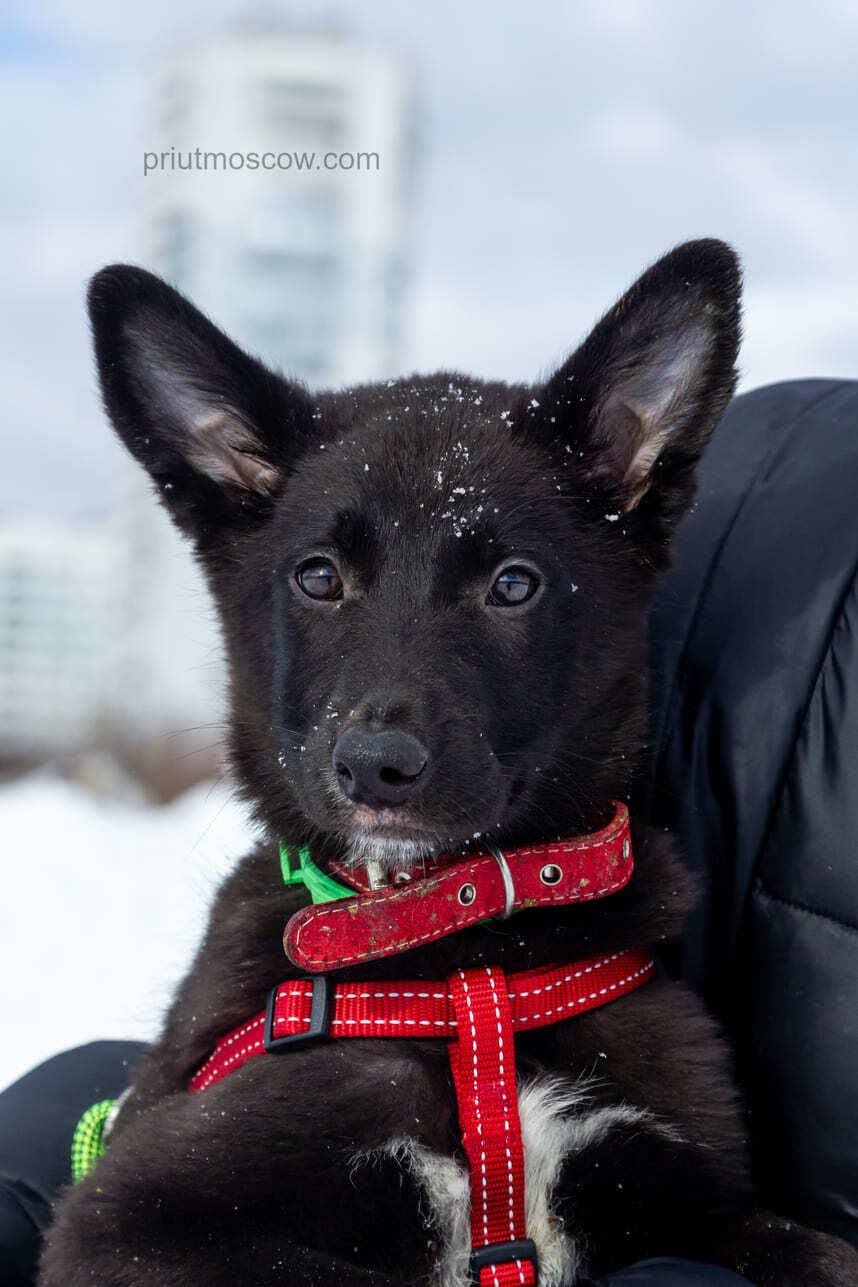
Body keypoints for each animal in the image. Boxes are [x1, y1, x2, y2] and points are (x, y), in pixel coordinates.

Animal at [38, 243, 858, 1287]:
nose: (375, 766)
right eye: (318, 576)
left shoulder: (695, 1191)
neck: (460, 951)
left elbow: (818, 1249)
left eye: (513, 584)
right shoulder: (129, 1217)